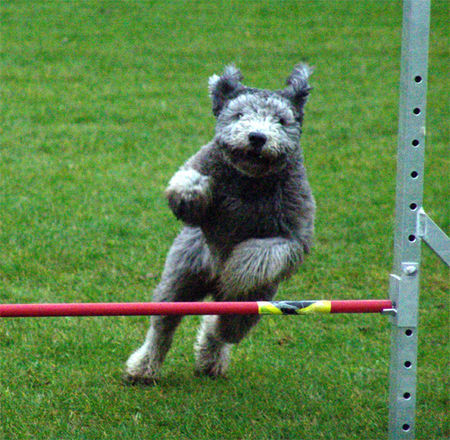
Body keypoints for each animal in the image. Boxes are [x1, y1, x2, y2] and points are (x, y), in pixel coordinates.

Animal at [123, 63, 314, 384]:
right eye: (239, 114)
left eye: (281, 120)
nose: (257, 137)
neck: (249, 181)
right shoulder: (202, 166)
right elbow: (188, 182)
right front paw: (191, 192)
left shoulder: (295, 233)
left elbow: (263, 252)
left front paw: (236, 272)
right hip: (180, 278)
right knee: (163, 325)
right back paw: (142, 368)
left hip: (255, 303)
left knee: (222, 328)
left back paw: (210, 355)